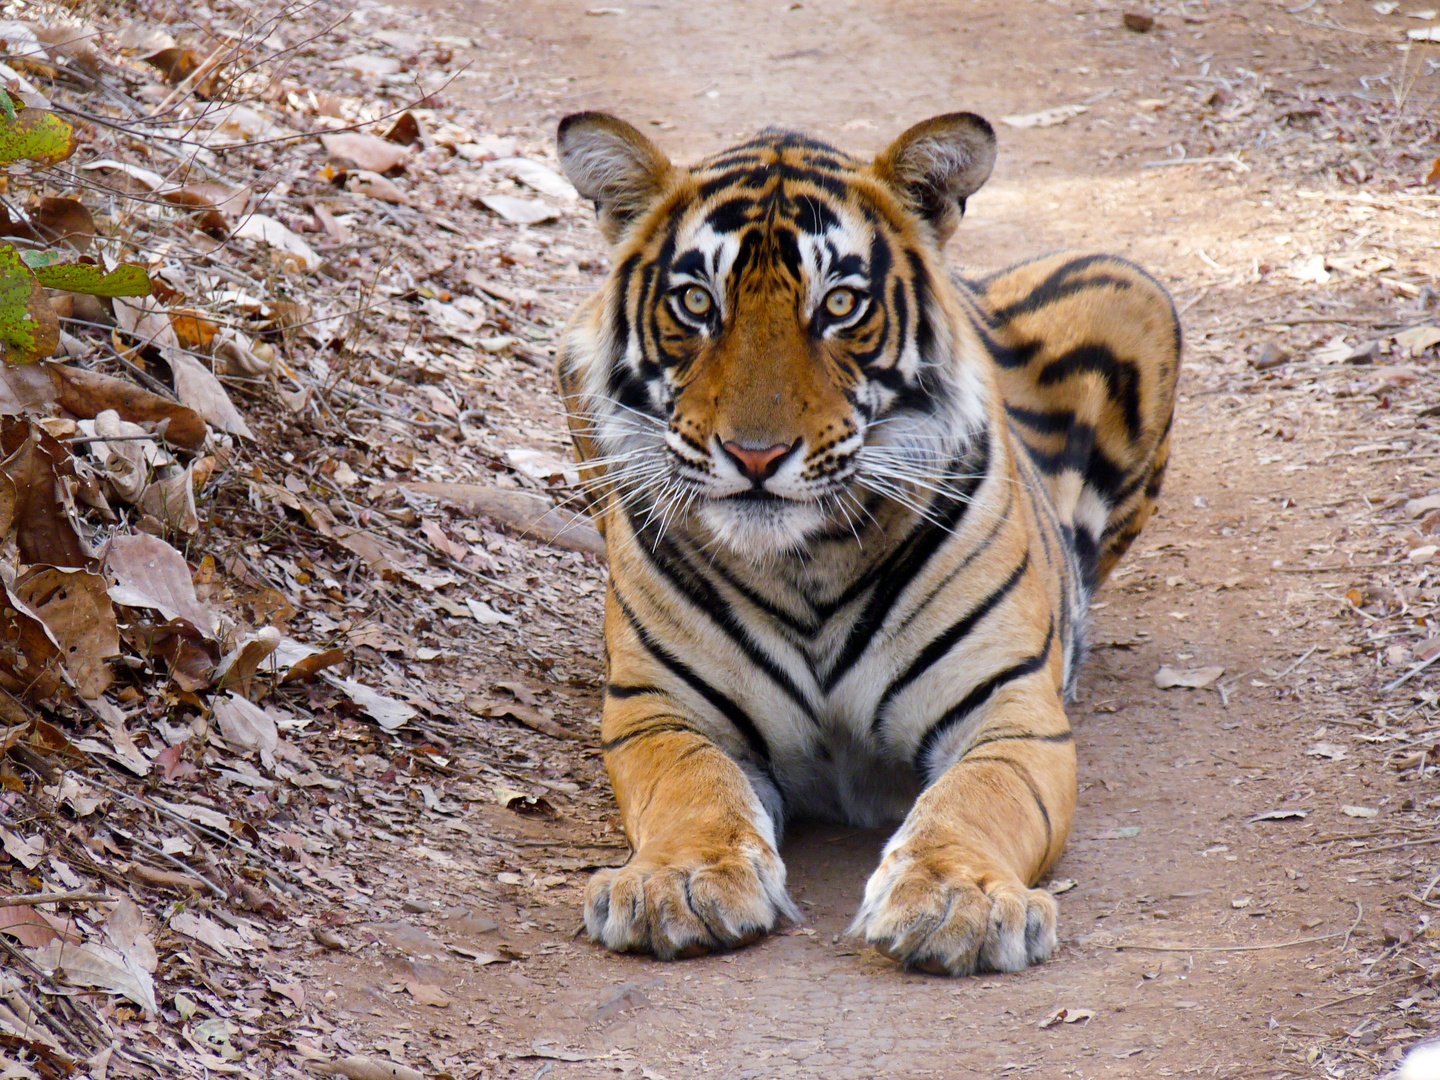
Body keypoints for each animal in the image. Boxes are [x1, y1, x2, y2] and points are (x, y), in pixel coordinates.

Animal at [550, 112, 1180, 979]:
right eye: (696, 302)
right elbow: (693, 787)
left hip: (1128, 283)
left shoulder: (1008, 709)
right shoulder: (659, 709)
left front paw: (957, 899)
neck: (805, 564)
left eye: (840, 305)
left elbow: (978, 797)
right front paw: (677, 882)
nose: (753, 455)